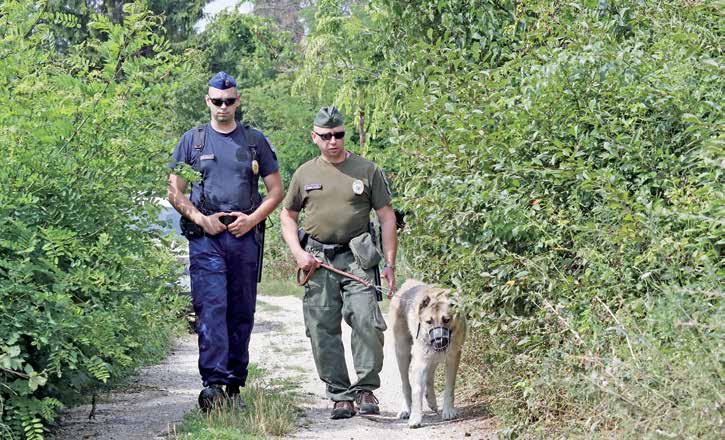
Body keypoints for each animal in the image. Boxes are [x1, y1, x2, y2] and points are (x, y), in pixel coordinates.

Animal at [388, 280, 466, 428]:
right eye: (429, 322)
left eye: (446, 320)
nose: (439, 341)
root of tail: (406, 283)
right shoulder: (420, 361)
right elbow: (417, 390)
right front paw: (415, 417)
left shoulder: (453, 357)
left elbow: (450, 386)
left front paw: (448, 410)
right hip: (402, 352)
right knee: (405, 383)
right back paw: (406, 409)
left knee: (430, 375)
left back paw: (432, 400)